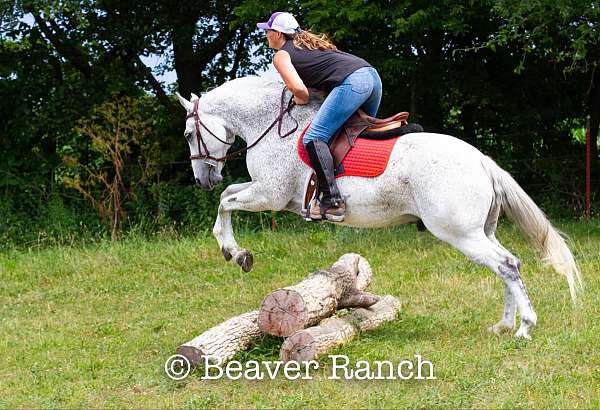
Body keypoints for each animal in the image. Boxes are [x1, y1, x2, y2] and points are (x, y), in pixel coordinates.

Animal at [176, 75, 584, 338]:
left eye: (188, 134)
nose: (202, 179)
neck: (271, 125)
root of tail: (482, 160)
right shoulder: (271, 195)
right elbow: (228, 196)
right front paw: (237, 252)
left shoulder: (269, 194)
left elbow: (225, 202)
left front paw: (235, 252)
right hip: (481, 231)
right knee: (507, 264)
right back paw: (504, 325)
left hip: (461, 234)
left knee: (507, 265)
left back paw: (524, 328)